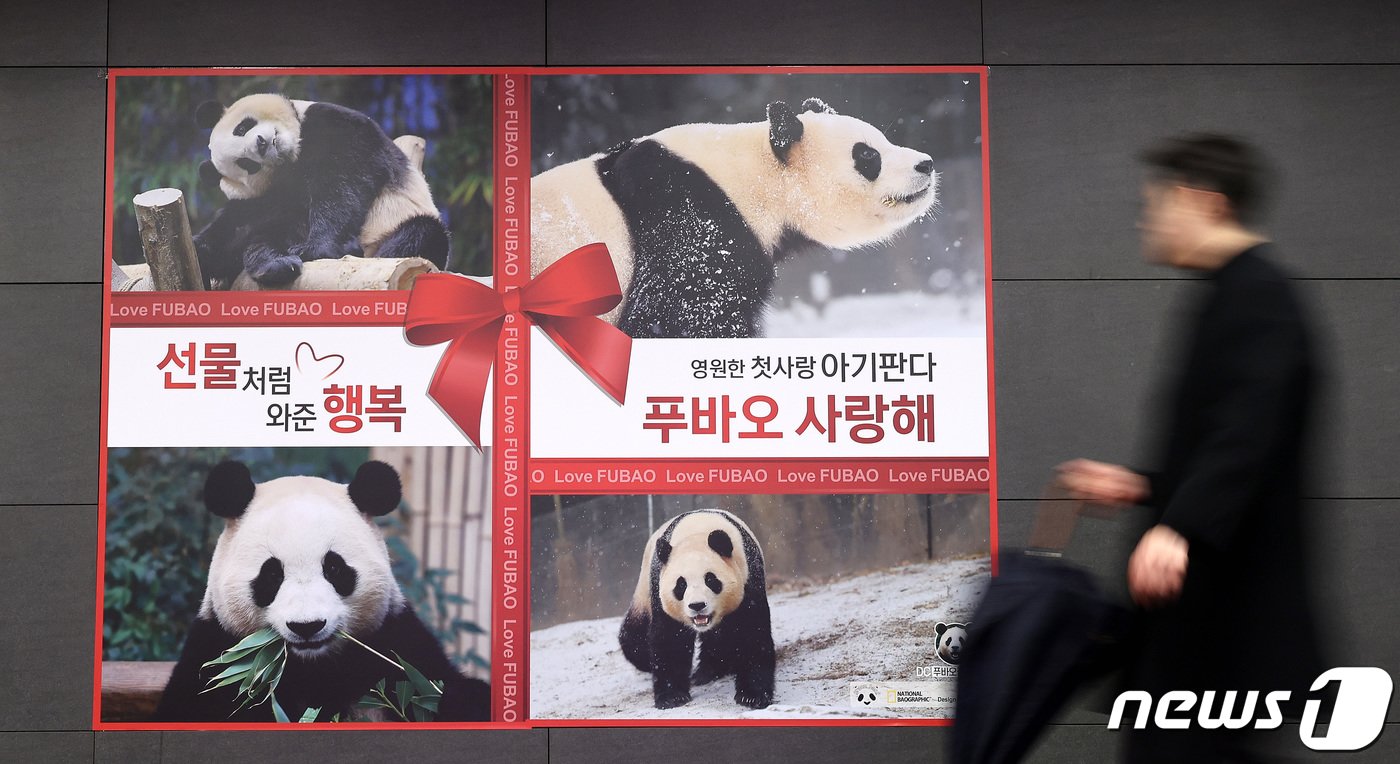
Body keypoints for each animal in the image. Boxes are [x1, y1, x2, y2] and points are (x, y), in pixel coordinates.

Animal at [152, 458, 490, 722]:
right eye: (271, 574)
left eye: (334, 569)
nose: (307, 626)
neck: (313, 667)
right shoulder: (218, 652)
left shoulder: (395, 640)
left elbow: (443, 686)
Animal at [191, 93, 448, 286]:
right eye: (246, 164)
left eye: (242, 127)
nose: (261, 144)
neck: (294, 153)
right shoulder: (265, 195)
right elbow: (238, 222)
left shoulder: (337, 124)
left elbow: (342, 184)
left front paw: (316, 247)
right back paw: (274, 265)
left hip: (395, 226)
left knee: (420, 233)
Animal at [621, 506, 778, 708]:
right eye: (681, 585)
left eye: (711, 580)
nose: (697, 605)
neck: (696, 535)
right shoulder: (659, 588)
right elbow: (669, 640)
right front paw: (672, 696)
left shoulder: (748, 578)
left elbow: (751, 632)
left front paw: (752, 696)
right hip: (643, 592)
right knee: (634, 635)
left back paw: (710, 670)